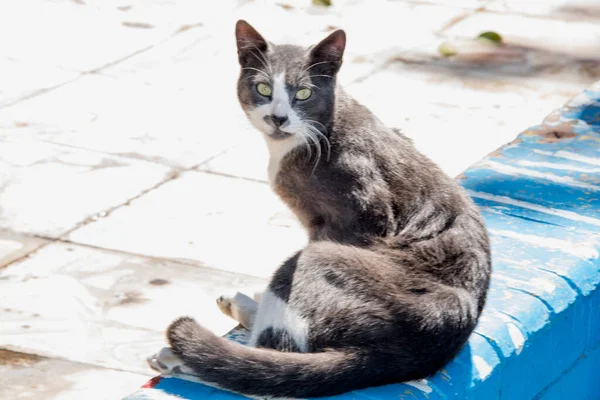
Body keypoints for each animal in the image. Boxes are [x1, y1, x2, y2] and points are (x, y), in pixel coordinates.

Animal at [165, 20, 492, 398]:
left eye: (303, 94)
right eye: (263, 88)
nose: (278, 117)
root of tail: (405, 351)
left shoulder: (360, 209)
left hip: (320, 258)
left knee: (276, 355)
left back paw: (182, 357)